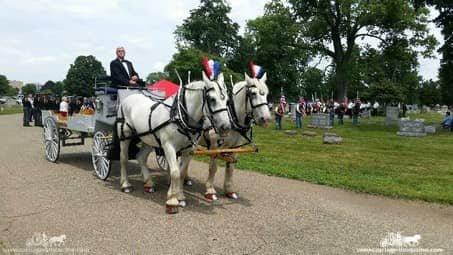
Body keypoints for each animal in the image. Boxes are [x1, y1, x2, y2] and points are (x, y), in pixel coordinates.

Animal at [116, 71, 230, 213]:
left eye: (227, 100)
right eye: (212, 99)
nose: (226, 126)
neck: (179, 116)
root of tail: (128, 98)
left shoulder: (189, 150)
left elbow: (181, 172)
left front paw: (180, 196)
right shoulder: (168, 146)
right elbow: (175, 172)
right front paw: (172, 201)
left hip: (149, 138)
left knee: (140, 157)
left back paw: (148, 183)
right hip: (125, 136)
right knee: (123, 158)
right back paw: (125, 184)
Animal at [180, 72, 270, 200]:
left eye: (267, 94)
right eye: (253, 93)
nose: (266, 119)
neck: (231, 116)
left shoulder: (235, 146)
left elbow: (230, 168)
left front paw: (229, 190)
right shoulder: (215, 145)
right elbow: (213, 168)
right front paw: (210, 190)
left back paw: (186, 179)